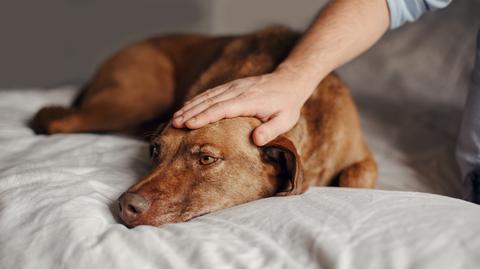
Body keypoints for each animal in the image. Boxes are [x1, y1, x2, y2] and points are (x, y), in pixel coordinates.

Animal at [31, 26, 378, 226]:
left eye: (207, 159)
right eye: (154, 151)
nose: (125, 205)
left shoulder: (363, 157)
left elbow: (357, 175)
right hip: (134, 99)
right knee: (55, 120)